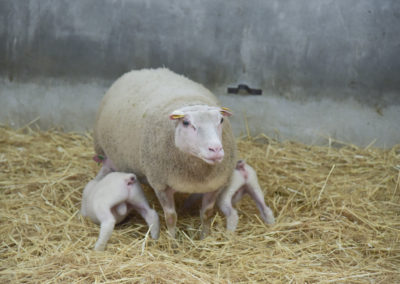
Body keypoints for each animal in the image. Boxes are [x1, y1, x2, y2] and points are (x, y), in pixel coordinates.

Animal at [94, 68, 236, 237]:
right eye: (186, 123)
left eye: (221, 120)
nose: (215, 149)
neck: (196, 174)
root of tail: (140, 70)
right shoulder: (161, 184)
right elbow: (171, 217)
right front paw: (172, 239)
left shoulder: (215, 185)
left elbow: (207, 214)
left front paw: (205, 237)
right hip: (105, 153)